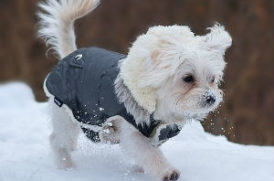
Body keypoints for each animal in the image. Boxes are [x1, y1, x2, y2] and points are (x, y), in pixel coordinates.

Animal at [37, 0, 232, 180]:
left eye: (212, 79)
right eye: (188, 78)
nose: (211, 98)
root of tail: (70, 55)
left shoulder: (157, 135)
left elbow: (147, 154)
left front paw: (140, 170)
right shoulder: (131, 131)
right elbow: (148, 153)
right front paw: (167, 171)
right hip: (66, 115)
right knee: (57, 141)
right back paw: (66, 167)